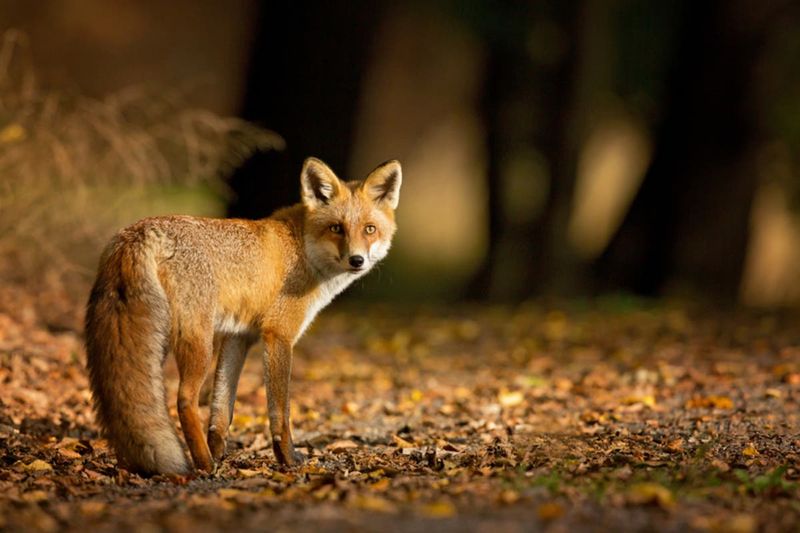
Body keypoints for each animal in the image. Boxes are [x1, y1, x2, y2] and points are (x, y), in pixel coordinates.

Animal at [84, 157, 401, 475]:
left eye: (369, 229)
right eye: (336, 228)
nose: (357, 260)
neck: (302, 249)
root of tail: (139, 231)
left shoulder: (238, 336)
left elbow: (222, 408)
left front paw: (219, 451)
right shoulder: (278, 334)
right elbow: (280, 411)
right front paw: (287, 458)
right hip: (197, 343)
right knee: (184, 400)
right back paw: (203, 464)